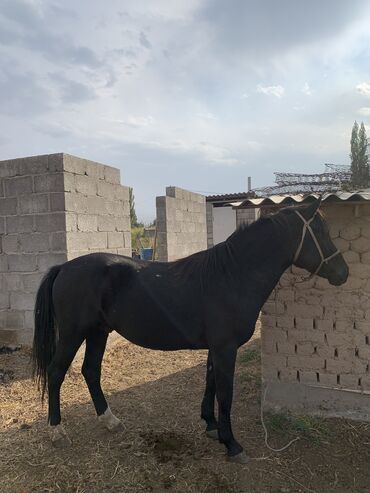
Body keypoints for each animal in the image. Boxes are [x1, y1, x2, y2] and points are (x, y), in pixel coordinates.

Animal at [32, 200, 350, 462]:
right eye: (321, 232)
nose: (343, 273)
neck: (232, 276)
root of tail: (64, 267)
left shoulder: (216, 348)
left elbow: (210, 384)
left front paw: (210, 425)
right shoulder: (225, 349)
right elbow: (226, 394)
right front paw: (232, 444)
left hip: (99, 331)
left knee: (91, 371)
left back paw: (110, 420)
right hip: (73, 334)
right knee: (56, 372)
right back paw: (57, 431)